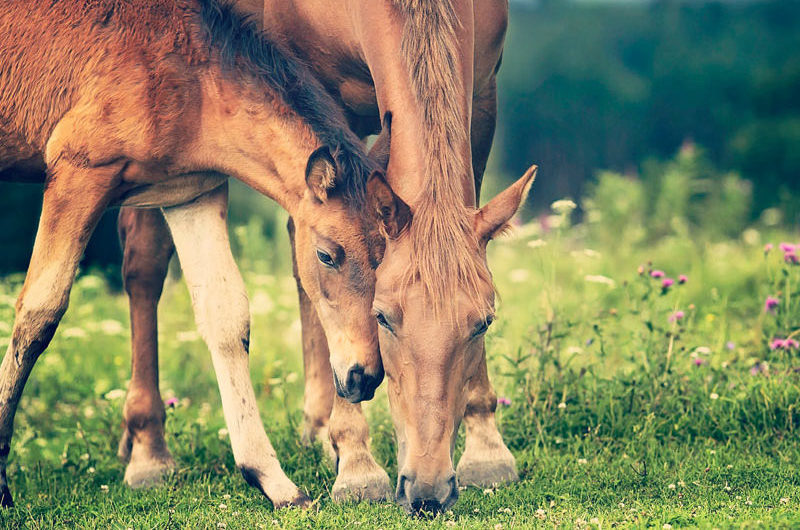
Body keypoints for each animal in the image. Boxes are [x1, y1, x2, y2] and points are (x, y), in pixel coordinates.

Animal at [0, 0, 406, 506]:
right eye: (327, 255)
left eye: (385, 254)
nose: (363, 376)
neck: (182, 75)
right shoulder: (79, 173)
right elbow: (38, 312)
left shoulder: (190, 193)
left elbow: (226, 317)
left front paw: (273, 480)